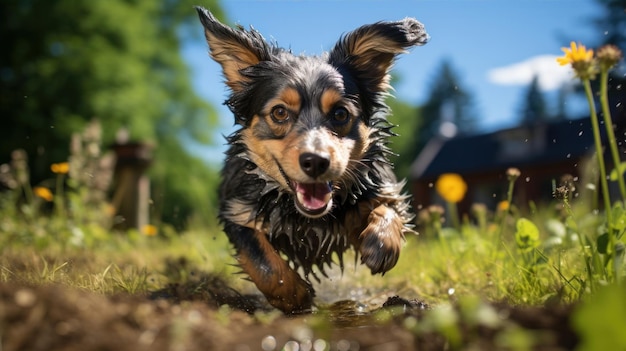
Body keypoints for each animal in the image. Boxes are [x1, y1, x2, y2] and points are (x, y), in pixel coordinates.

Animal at [195, 8, 426, 314]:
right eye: (280, 112)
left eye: (340, 114)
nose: (316, 162)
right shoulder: (238, 211)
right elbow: (263, 263)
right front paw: (295, 295)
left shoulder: (377, 188)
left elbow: (388, 207)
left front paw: (382, 243)